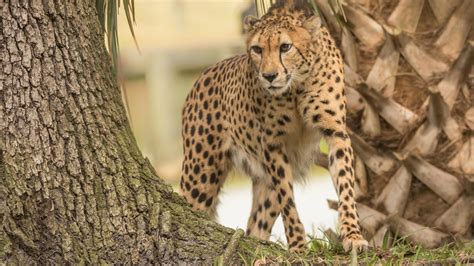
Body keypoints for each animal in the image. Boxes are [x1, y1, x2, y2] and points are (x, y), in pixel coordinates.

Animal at [180, 1, 368, 252]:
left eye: (285, 47)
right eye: (257, 49)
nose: (269, 76)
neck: (296, 85)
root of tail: (201, 76)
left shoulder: (336, 132)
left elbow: (346, 185)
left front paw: (353, 235)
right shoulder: (273, 144)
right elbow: (288, 201)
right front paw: (298, 247)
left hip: (261, 184)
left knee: (255, 228)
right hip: (201, 173)